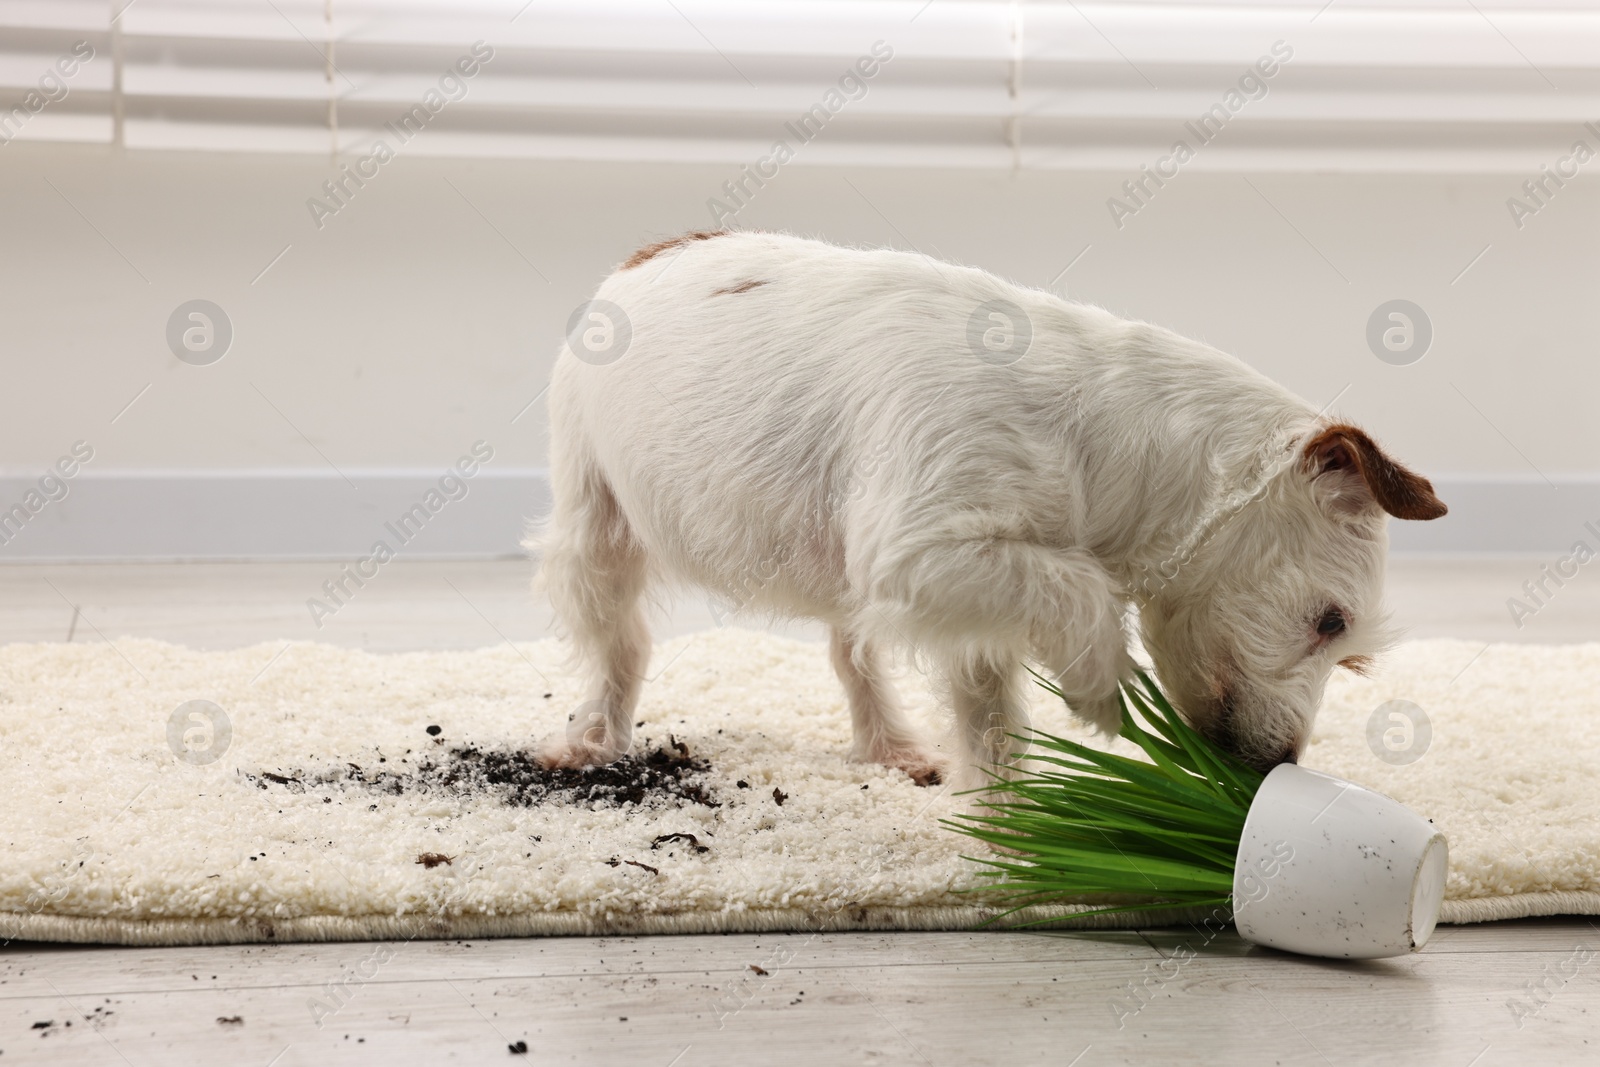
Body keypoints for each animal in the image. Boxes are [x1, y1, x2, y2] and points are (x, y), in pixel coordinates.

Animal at [528, 227, 1452, 793]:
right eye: (1331, 623)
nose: (1279, 765)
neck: (1089, 434)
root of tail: (653, 250)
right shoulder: (925, 555)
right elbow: (1081, 591)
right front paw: (1104, 688)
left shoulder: (968, 591)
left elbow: (988, 705)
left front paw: (1007, 816)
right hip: (594, 521)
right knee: (619, 643)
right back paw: (591, 738)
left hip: (846, 574)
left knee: (853, 654)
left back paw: (890, 746)